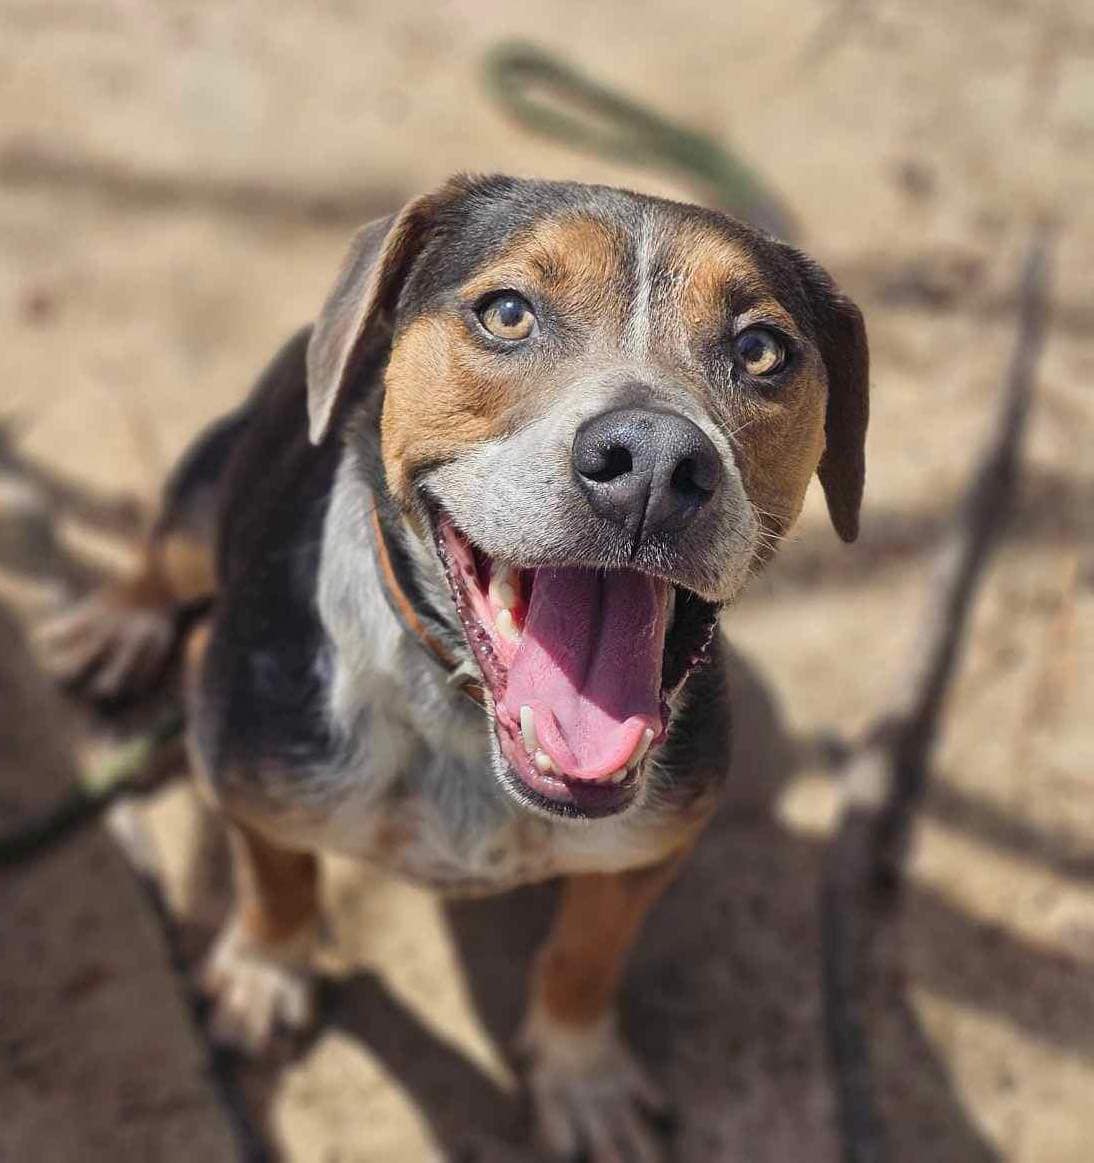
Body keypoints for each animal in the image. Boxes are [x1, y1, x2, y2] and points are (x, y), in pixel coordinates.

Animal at [44, 174, 869, 1163]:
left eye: (760, 350)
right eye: (507, 312)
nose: (654, 461)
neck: (459, 718)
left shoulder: (654, 844)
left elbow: (586, 953)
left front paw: (580, 1077)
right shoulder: (243, 766)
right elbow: (277, 874)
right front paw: (264, 970)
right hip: (210, 493)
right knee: (167, 550)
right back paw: (115, 625)